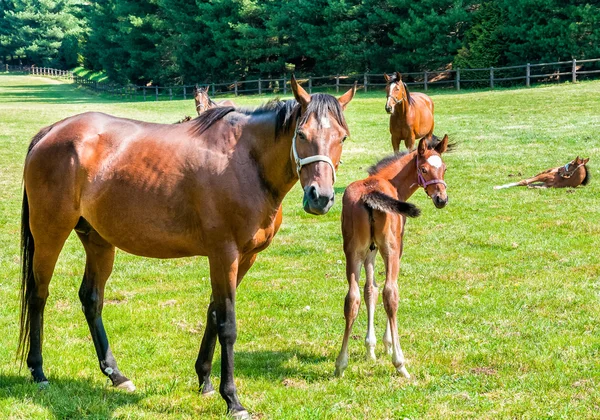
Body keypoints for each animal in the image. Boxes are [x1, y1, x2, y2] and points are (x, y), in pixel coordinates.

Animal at [332, 135, 450, 378]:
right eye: (423, 169)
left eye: (443, 168)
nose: (441, 199)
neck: (388, 181)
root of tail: (370, 194)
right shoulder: (396, 247)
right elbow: (384, 291)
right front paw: (386, 345)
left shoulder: (370, 250)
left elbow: (370, 290)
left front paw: (370, 349)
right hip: (390, 249)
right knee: (391, 294)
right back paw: (400, 363)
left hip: (353, 251)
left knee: (352, 298)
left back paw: (340, 364)